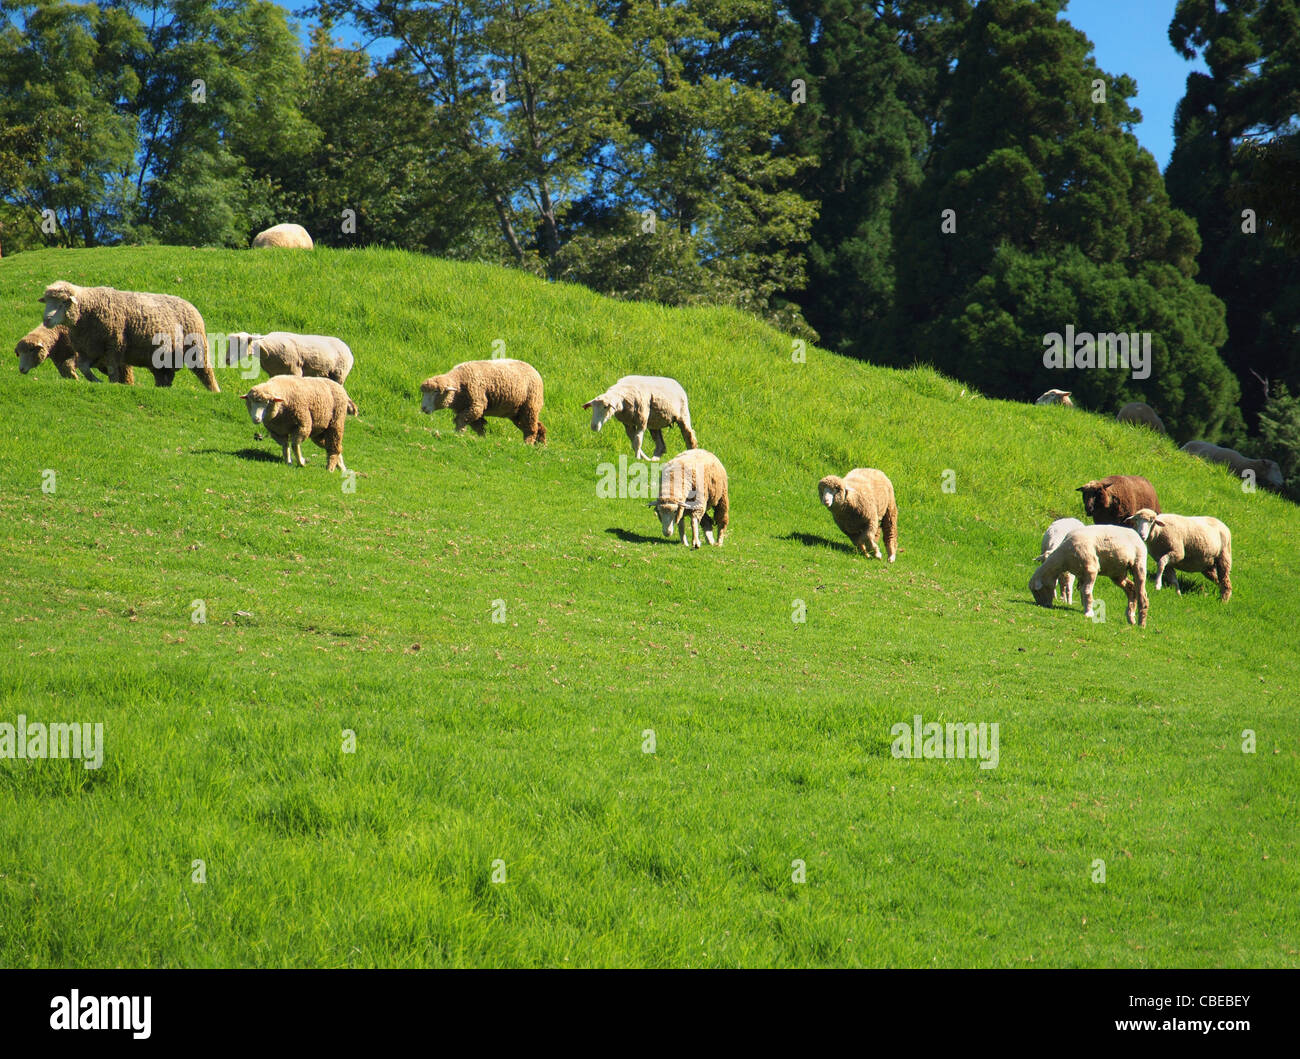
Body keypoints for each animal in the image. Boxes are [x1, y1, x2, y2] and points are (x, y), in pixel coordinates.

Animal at [39, 281, 219, 391]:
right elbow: (84, 367)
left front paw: (112, 384)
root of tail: (190, 304)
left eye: (63, 303)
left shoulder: (114, 345)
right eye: (47, 302)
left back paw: (214, 391)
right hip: (159, 358)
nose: (46, 320)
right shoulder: (89, 349)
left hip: (197, 349)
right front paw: (96, 381)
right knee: (164, 377)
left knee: (206, 374)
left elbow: (112, 370)